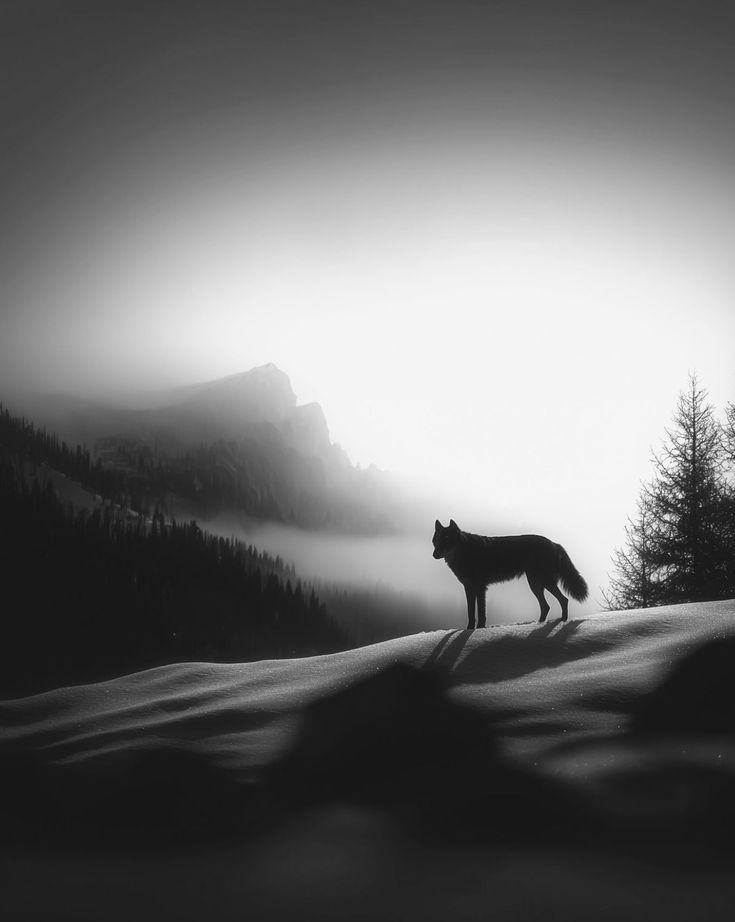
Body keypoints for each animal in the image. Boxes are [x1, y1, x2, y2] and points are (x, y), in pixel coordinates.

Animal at [432, 519, 588, 628]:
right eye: (435, 540)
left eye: (446, 539)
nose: (434, 555)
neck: (465, 551)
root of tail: (555, 544)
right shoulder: (468, 588)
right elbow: (471, 613)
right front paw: (469, 630)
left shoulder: (480, 588)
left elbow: (481, 613)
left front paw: (479, 629)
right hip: (535, 585)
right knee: (546, 606)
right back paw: (538, 625)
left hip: (544, 582)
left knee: (563, 600)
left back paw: (561, 622)